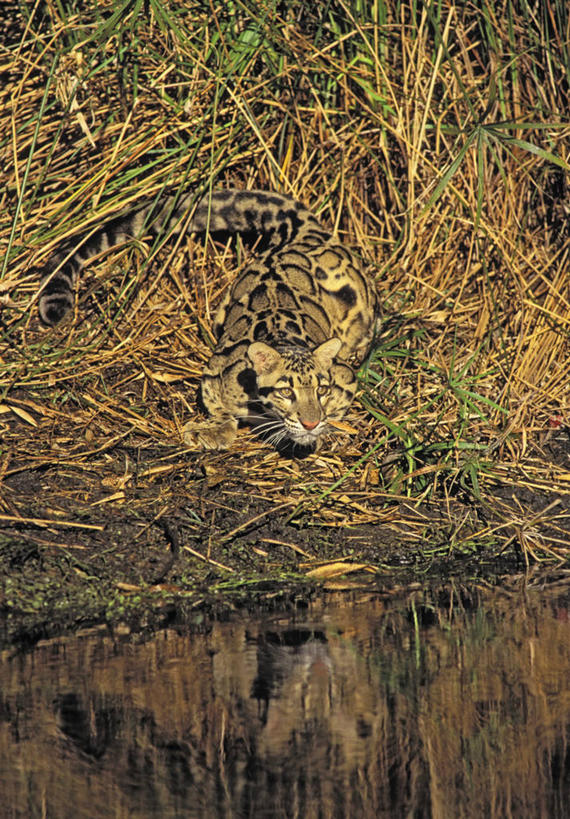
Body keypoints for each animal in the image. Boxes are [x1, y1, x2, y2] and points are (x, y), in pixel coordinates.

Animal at [40, 190, 378, 452]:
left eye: (321, 390)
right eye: (286, 392)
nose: (310, 422)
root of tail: (303, 232)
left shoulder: (345, 376)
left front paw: (323, 429)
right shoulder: (216, 372)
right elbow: (220, 408)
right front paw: (212, 430)